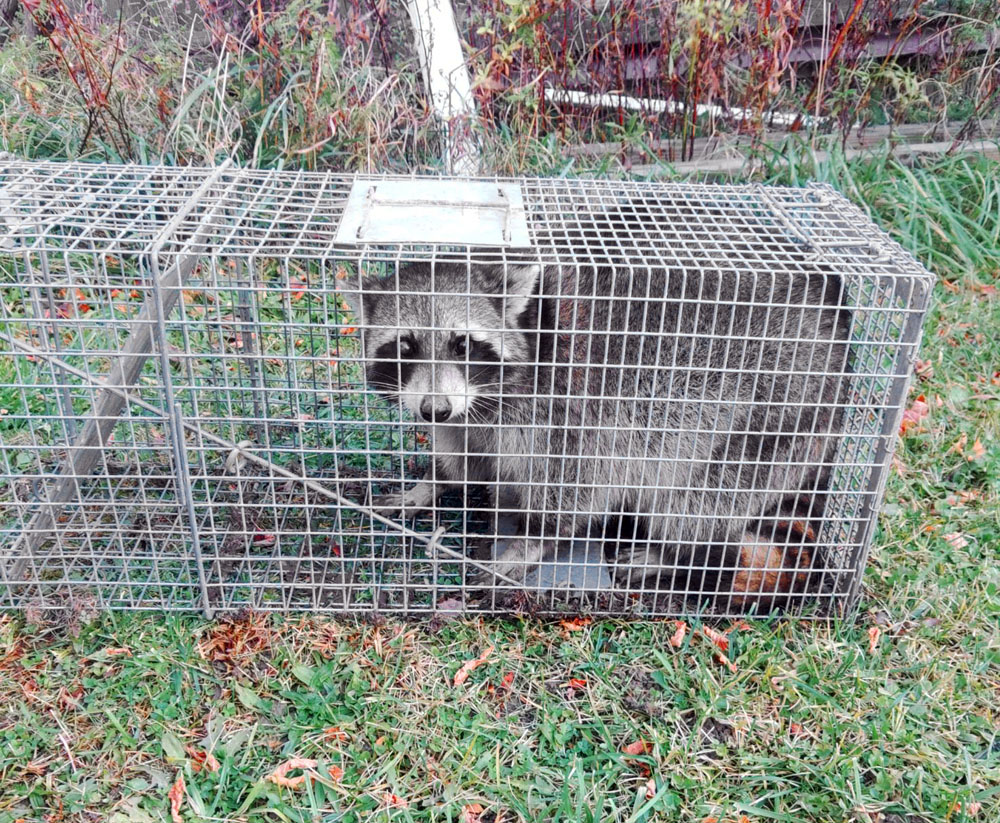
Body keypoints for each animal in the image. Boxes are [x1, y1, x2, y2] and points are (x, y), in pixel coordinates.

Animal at [340, 232, 848, 604]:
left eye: (462, 344)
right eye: (405, 347)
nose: (434, 408)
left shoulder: (570, 411)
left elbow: (574, 486)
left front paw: (532, 539)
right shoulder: (468, 417)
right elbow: (463, 459)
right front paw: (431, 483)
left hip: (775, 417)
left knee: (697, 498)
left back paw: (669, 553)